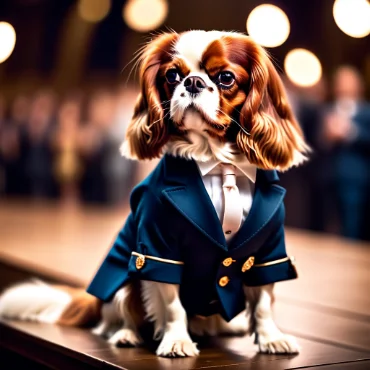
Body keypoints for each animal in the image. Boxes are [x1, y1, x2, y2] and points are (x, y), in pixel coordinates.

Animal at [0, 29, 308, 358]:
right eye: (172, 76)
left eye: (225, 77)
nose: (193, 82)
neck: (216, 160)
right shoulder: (157, 248)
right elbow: (173, 304)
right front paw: (177, 341)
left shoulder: (267, 250)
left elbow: (263, 302)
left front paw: (271, 338)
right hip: (124, 277)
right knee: (116, 315)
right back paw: (126, 334)